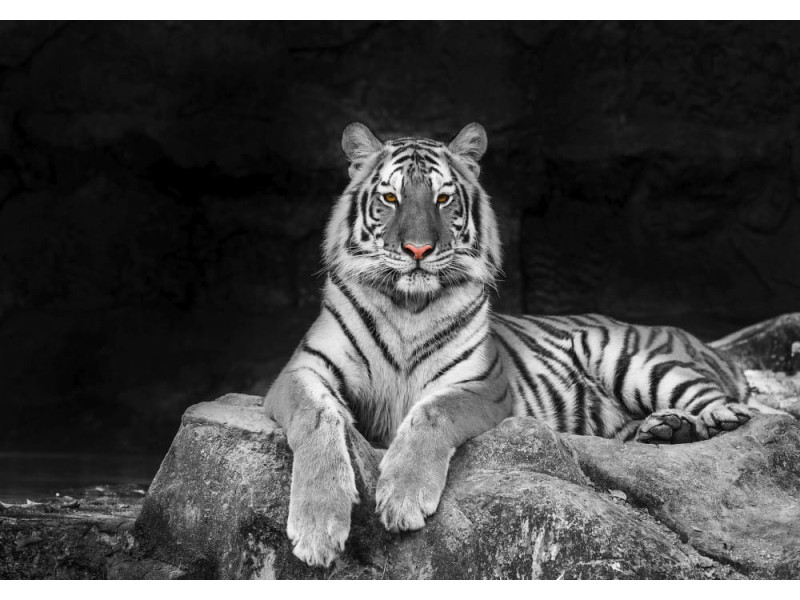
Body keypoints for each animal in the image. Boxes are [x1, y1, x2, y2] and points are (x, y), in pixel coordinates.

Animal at [263, 122, 757, 568]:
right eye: (390, 198)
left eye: (443, 198)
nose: (418, 250)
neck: (408, 306)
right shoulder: (301, 371)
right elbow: (316, 418)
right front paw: (317, 527)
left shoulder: (482, 384)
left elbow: (431, 412)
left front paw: (402, 497)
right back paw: (663, 429)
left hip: (630, 358)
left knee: (723, 403)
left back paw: (704, 419)